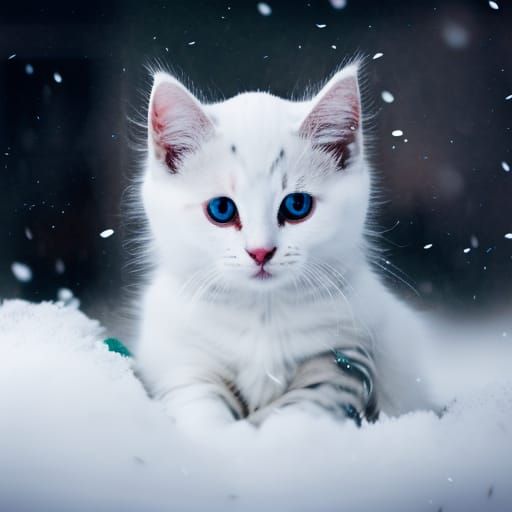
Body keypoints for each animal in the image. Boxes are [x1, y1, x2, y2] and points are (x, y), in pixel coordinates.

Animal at [136, 62, 436, 434]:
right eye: (221, 209)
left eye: (296, 206)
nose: (261, 252)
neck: (262, 317)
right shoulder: (180, 360)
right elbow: (198, 407)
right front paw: (221, 437)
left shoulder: (346, 356)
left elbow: (303, 409)